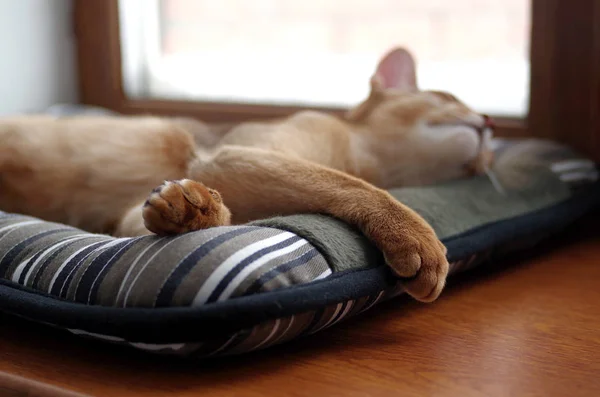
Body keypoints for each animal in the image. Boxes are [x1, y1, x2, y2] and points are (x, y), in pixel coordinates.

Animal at [0, 48, 492, 304]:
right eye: (447, 97)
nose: (488, 121)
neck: (364, 156)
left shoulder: (126, 216)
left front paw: (191, 213)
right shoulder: (232, 154)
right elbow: (347, 183)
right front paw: (420, 240)